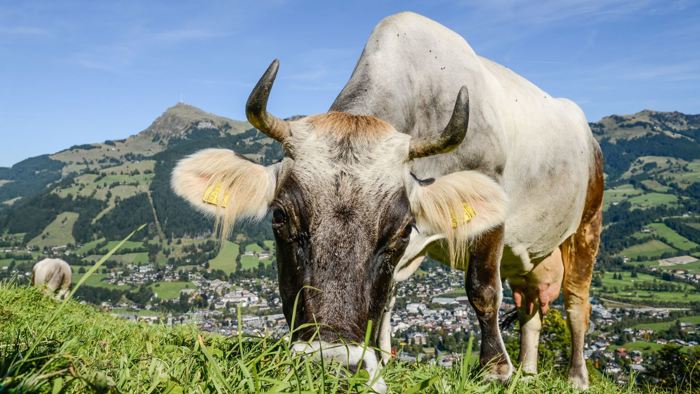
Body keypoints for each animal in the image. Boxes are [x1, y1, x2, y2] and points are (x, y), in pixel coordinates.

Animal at [172, 11, 604, 390]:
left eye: (403, 229)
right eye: (280, 217)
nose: (332, 363)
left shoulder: (490, 204)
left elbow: (482, 288)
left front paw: (495, 368)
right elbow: (387, 299)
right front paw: (382, 357)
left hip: (587, 224)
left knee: (576, 305)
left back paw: (575, 377)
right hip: (529, 255)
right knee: (531, 308)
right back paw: (529, 373)